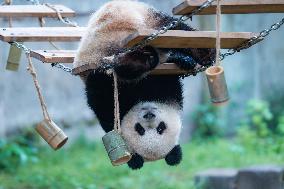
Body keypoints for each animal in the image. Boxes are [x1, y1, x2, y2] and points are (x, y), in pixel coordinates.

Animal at [74, 0, 214, 169]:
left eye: (161, 127)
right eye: (139, 129)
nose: (149, 114)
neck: (142, 97)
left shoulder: (166, 91)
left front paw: (183, 60)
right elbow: (101, 95)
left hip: (145, 19)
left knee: (173, 28)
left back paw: (202, 53)